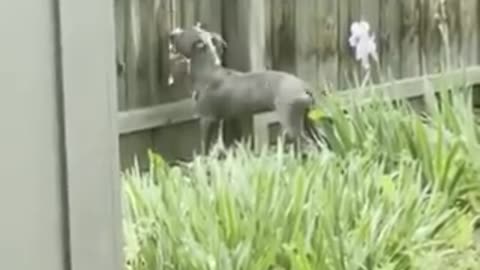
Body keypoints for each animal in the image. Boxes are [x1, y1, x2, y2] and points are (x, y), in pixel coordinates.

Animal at [167, 25, 328, 157]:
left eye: (183, 33)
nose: (171, 33)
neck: (208, 70)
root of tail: (304, 85)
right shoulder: (218, 120)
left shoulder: (207, 119)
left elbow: (204, 147)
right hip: (308, 120)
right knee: (318, 141)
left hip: (290, 119)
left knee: (307, 144)